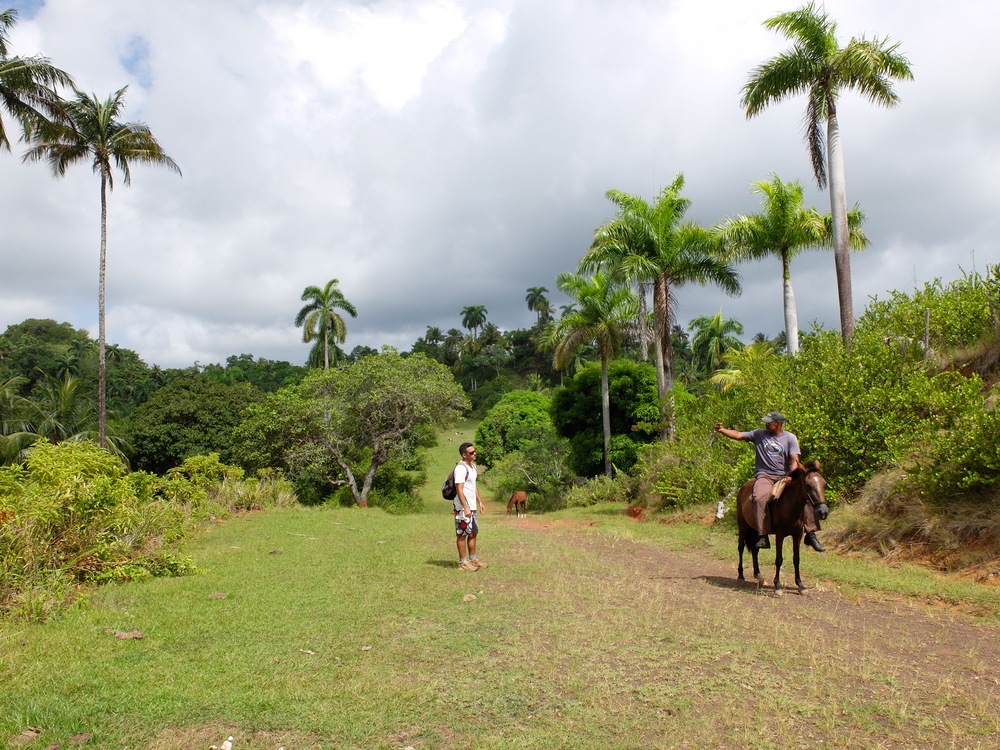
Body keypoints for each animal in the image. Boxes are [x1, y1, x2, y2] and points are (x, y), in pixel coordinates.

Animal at [736, 458, 828, 600]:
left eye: (824, 484)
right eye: (808, 485)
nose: (823, 512)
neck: (790, 505)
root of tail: (743, 488)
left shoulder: (797, 535)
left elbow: (796, 559)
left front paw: (801, 586)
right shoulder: (780, 535)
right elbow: (779, 560)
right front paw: (778, 586)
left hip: (755, 529)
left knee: (755, 550)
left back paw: (759, 576)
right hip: (743, 526)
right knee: (741, 547)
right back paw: (741, 574)